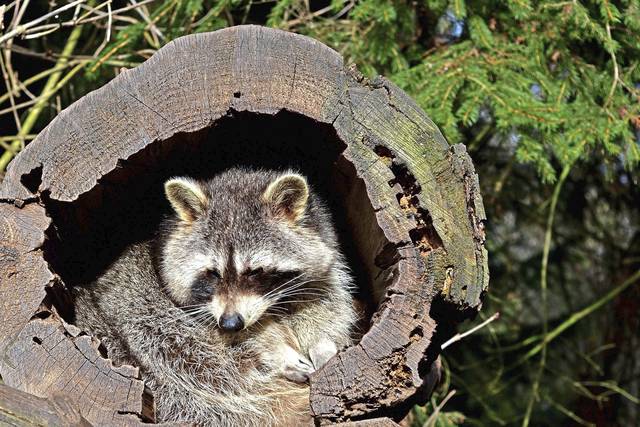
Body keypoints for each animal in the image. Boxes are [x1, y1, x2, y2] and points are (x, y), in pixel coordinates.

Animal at [73, 167, 358, 426]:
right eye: (212, 273)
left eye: (255, 271)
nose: (230, 323)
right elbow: (241, 339)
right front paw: (275, 349)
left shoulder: (322, 268)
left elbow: (326, 302)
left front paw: (322, 342)